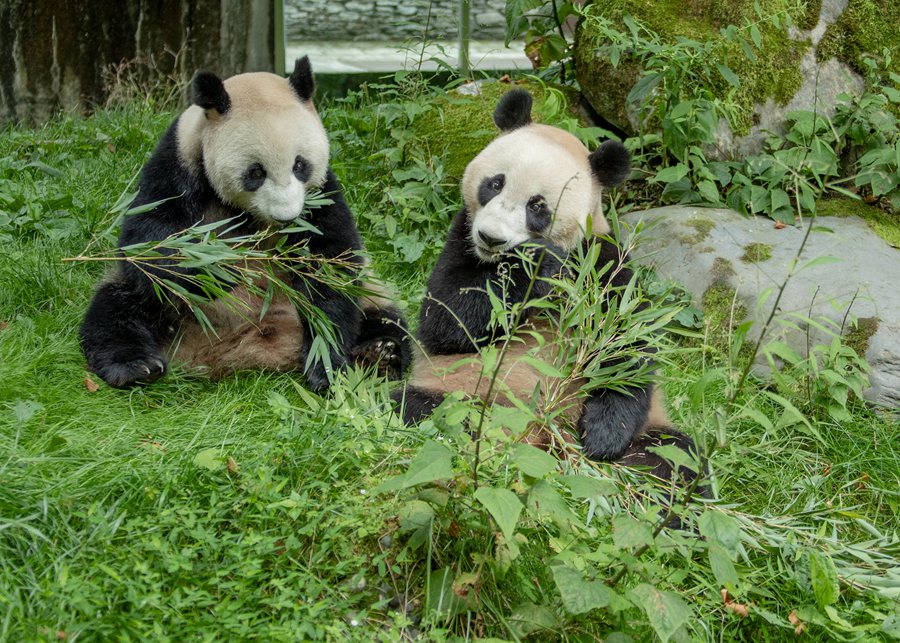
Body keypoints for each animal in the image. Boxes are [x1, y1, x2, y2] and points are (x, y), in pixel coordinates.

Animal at [81, 57, 412, 390]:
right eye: (256, 172)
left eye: (300, 165)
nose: (287, 217)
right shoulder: (177, 164)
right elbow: (149, 240)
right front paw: (216, 268)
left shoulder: (321, 194)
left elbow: (331, 266)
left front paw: (325, 366)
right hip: (159, 306)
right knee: (119, 310)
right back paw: (136, 366)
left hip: (372, 293)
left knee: (386, 318)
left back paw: (380, 355)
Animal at [396, 89, 704, 484]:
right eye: (495, 183)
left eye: (537, 206)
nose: (491, 238)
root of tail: (544, 438)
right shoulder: (462, 237)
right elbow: (447, 320)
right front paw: (535, 263)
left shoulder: (601, 259)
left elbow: (625, 344)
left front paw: (604, 434)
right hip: (462, 392)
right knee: (418, 408)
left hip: (647, 432)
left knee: (675, 458)